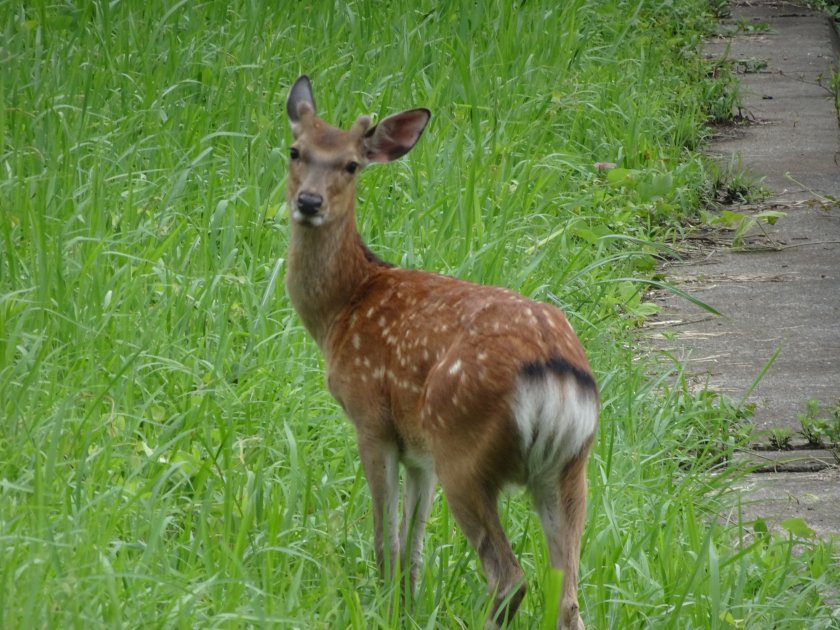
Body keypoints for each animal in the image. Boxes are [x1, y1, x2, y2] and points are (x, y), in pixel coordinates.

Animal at [284, 75, 596, 630]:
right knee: (568, 596)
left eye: (351, 164)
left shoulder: (372, 420)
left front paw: (387, 607)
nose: (309, 201)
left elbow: (386, 541)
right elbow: (414, 546)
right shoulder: (419, 451)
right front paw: (405, 606)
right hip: (567, 468)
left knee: (509, 577)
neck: (341, 309)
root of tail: (556, 375)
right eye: (295, 151)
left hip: (464, 447)